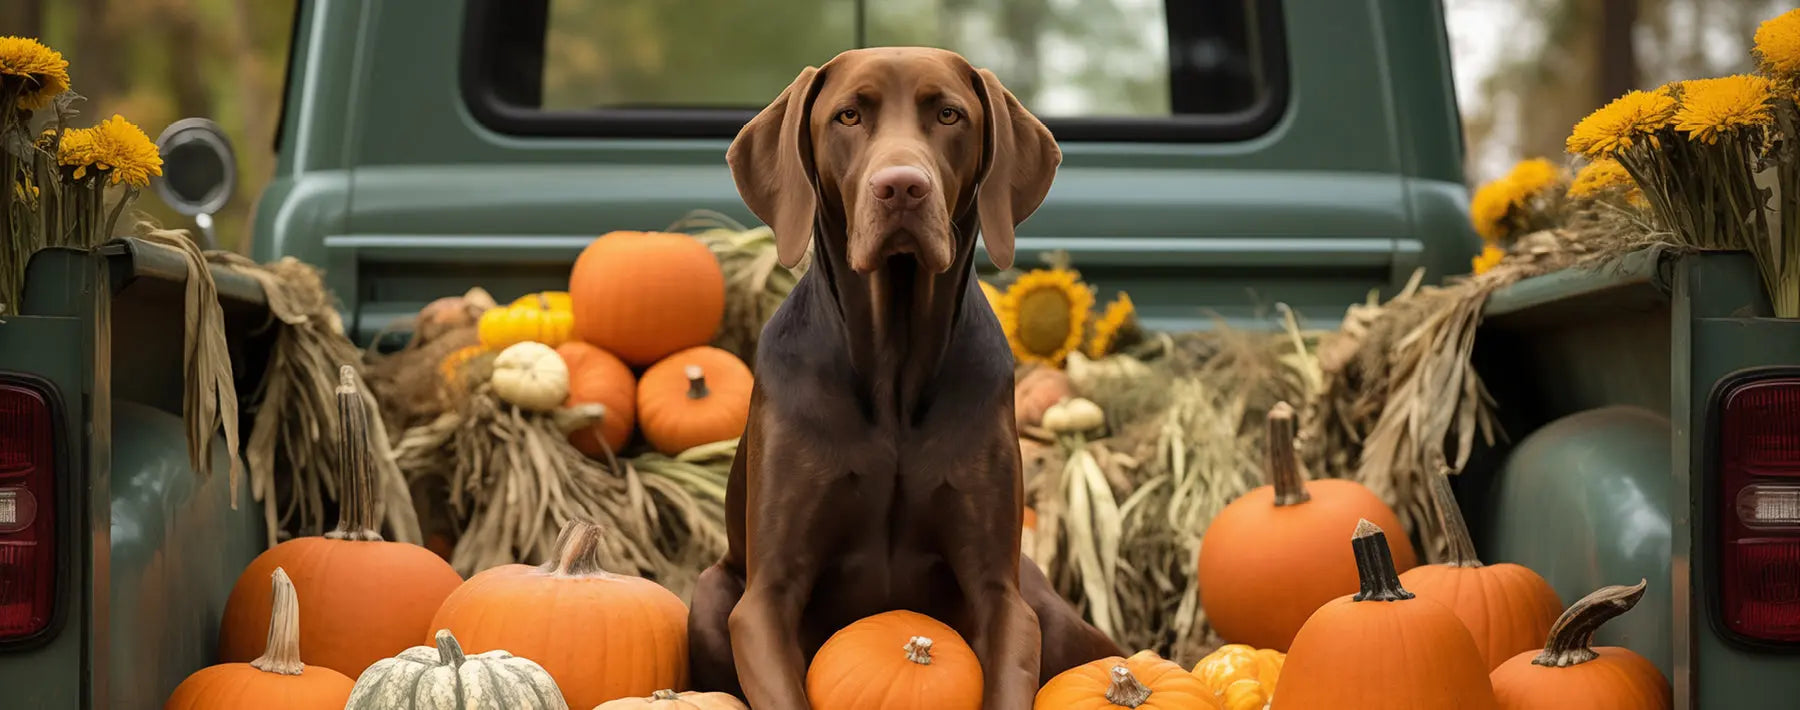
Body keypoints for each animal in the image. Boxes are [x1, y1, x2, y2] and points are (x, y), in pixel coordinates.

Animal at [680, 47, 1116, 706]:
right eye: (848, 115)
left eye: (949, 114)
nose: (903, 186)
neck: (894, 366)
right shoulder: (764, 600)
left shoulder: (1004, 598)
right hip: (710, 592)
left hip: (1051, 610)